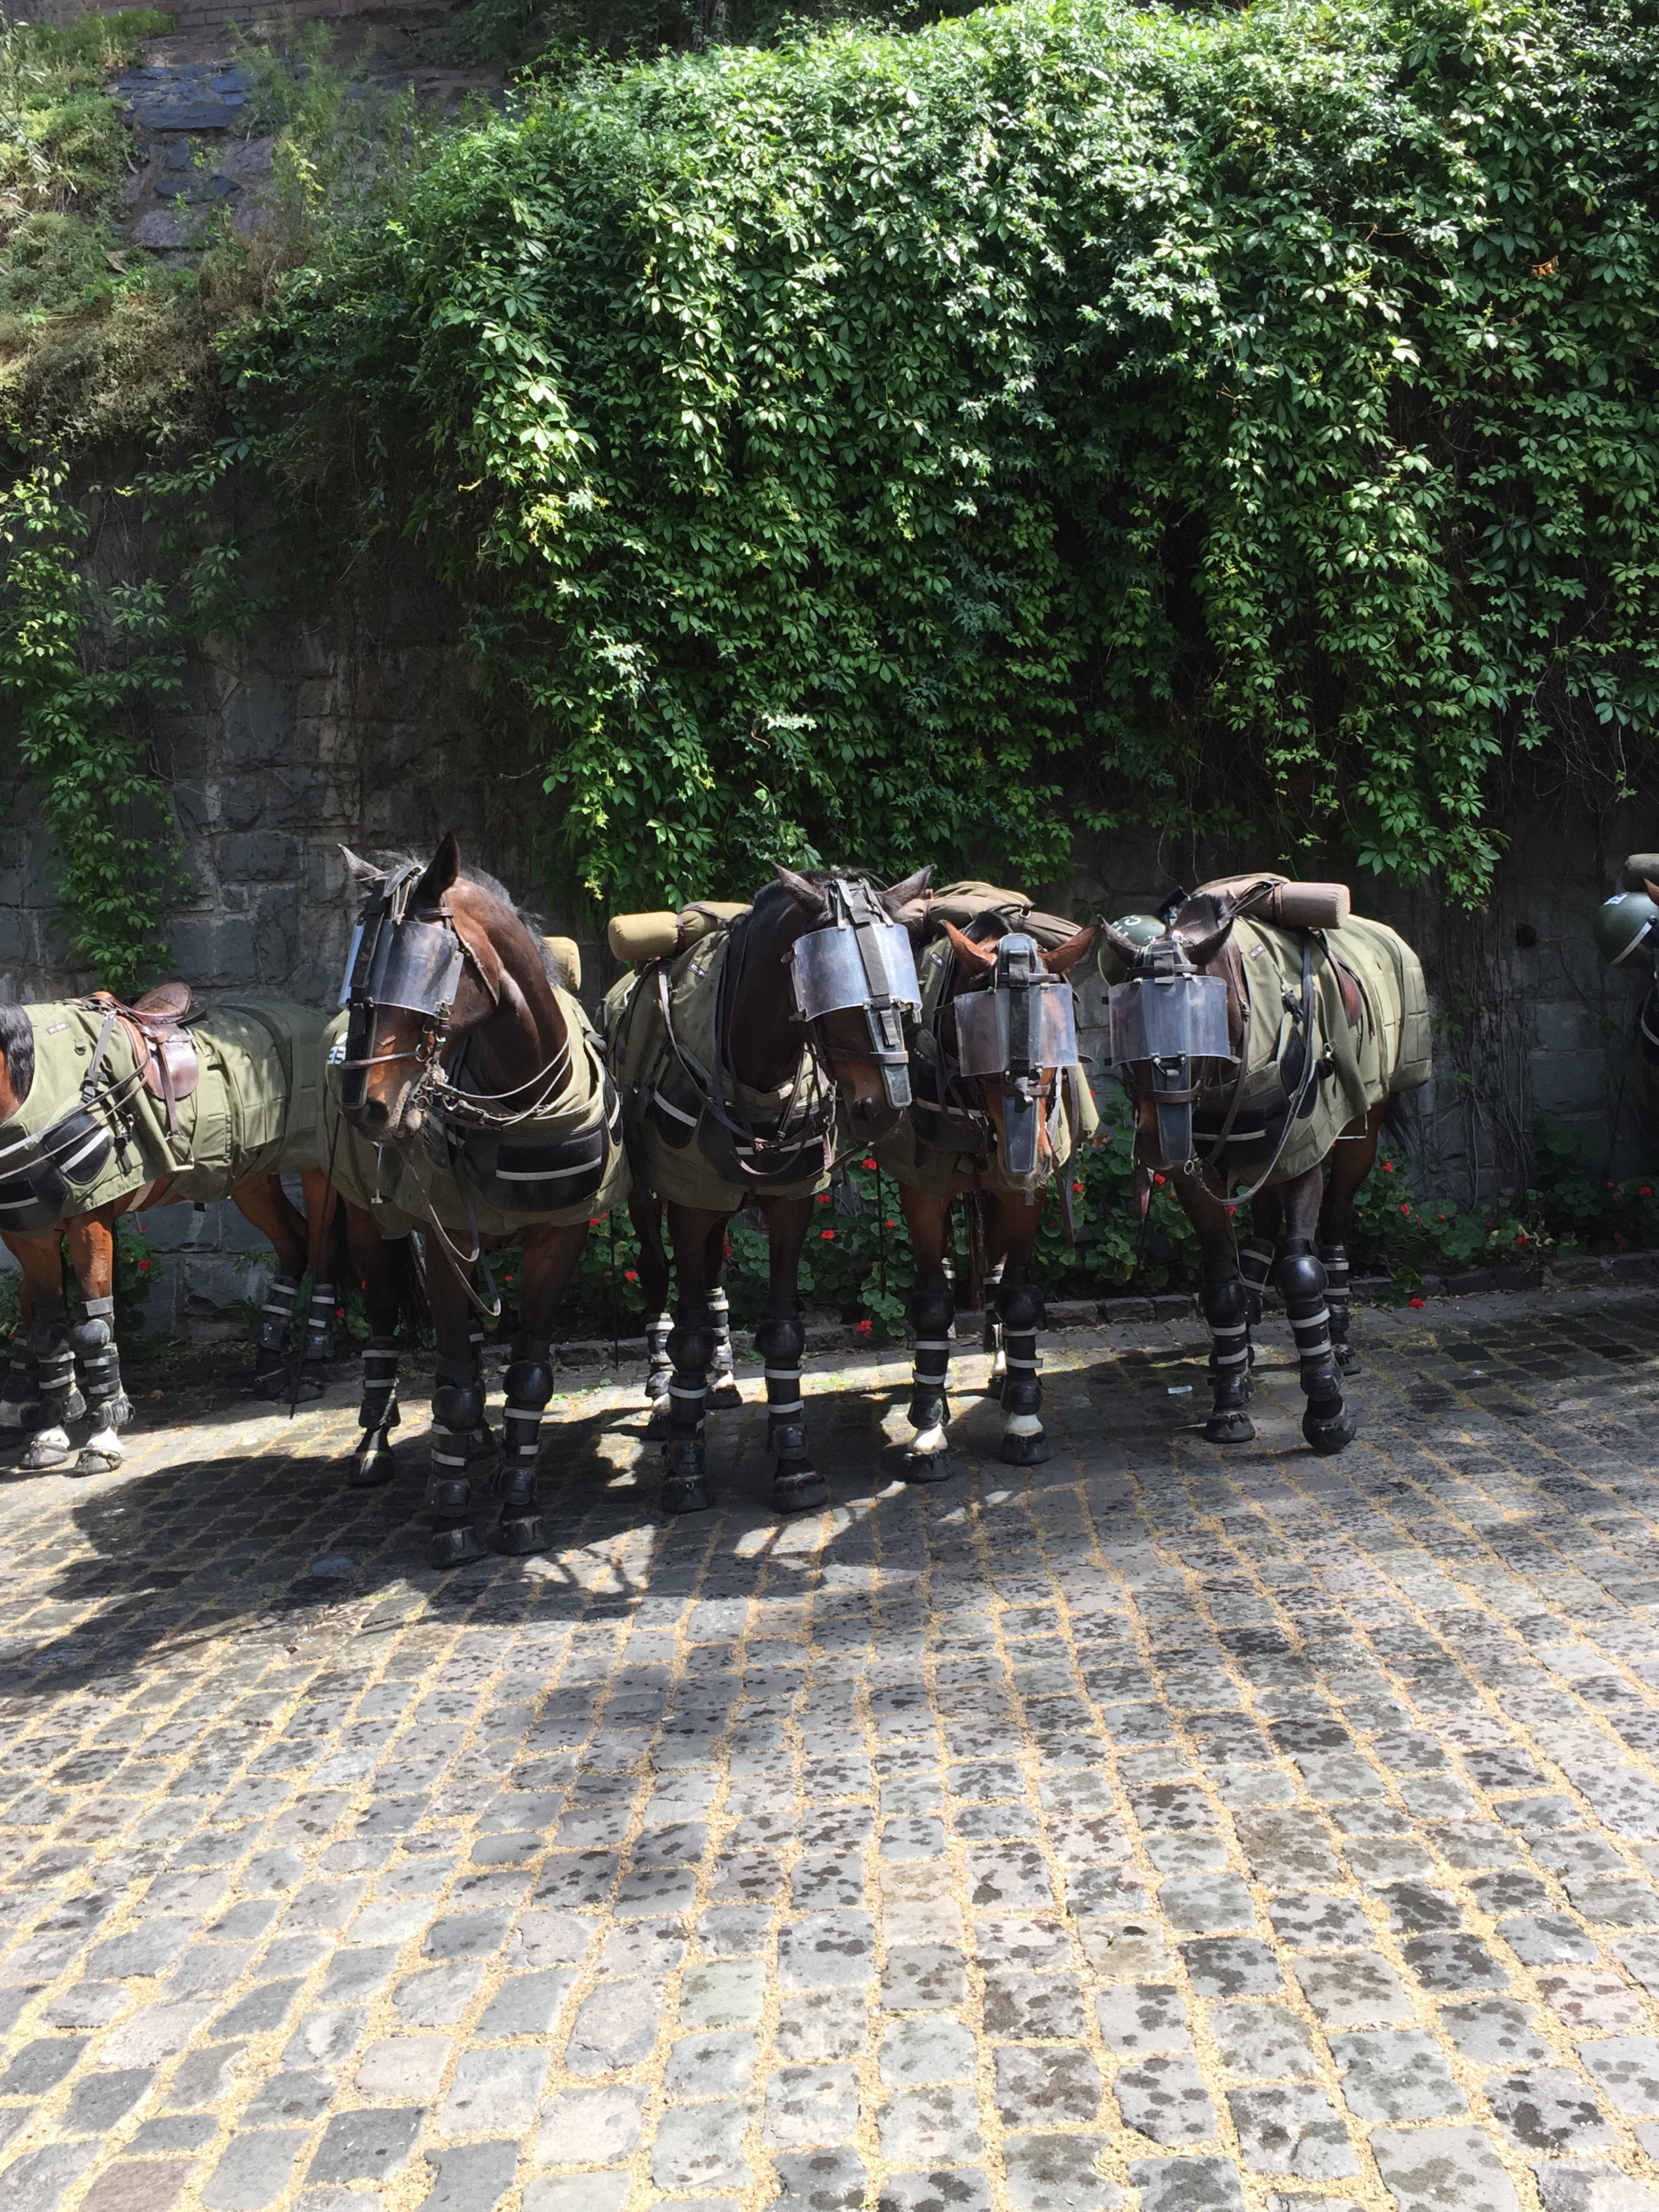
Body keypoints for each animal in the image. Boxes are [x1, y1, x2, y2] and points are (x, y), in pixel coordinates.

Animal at [0, 990, 338, 1474]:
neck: (36, 1084)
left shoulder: (88, 1222)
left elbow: (92, 1328)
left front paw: (102, 1436)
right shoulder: (31, 1233)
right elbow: (47, 1327)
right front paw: (49, 1432)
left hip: (317, 1169)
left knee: (324, 1251)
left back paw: (309, 1369)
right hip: (253, 1176)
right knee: (294, 1243)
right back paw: (270, 1367)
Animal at [327, 834, 628, 1568]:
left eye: (424, 972)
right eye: (360, 978)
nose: (368, 1106)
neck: (521, 1099)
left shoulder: (560, 1236)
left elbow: (527, 1375)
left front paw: (518, 1506)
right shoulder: (441, 1243)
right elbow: (456, 1385)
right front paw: (453, 1518)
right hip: (370, 1227)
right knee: (387, 1325)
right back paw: (377, 1447)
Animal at [603, 865, 931, 1517]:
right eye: (832, 988)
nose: (886, 1105)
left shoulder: (790, 1205)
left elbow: (781, 1333)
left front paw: (792, 1457)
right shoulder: (688, 1204)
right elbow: (689, 1335)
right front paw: (685, 1466)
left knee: (712, 1278)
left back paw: (722, 1381)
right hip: (650, 1196)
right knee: (656, 1274)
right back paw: (663, 1391)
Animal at [871, 886, 1100, 1477]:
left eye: (1061, 1033)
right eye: (977, 1037)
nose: (1026, 1160)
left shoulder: (1023, 1197)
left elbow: (1016, 1295)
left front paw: (1024, 1417)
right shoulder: (922, 1190)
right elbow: (933, 1302)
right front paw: (927, 1428)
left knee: (994, 1276)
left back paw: (1000, 1367)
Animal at [1099, 875, 1429, 1453]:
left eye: (1200, 1017)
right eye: (1125, 1019)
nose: (1158, 1145)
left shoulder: (1302, 1154)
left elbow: (1300, 1273)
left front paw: (1327, 1411)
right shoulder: (1202, 1175)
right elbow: (1222, 1281)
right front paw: (1231, 1394)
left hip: (1357, 1136)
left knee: (1334, 1224)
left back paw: (1338, 1339)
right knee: (1262, 1229)